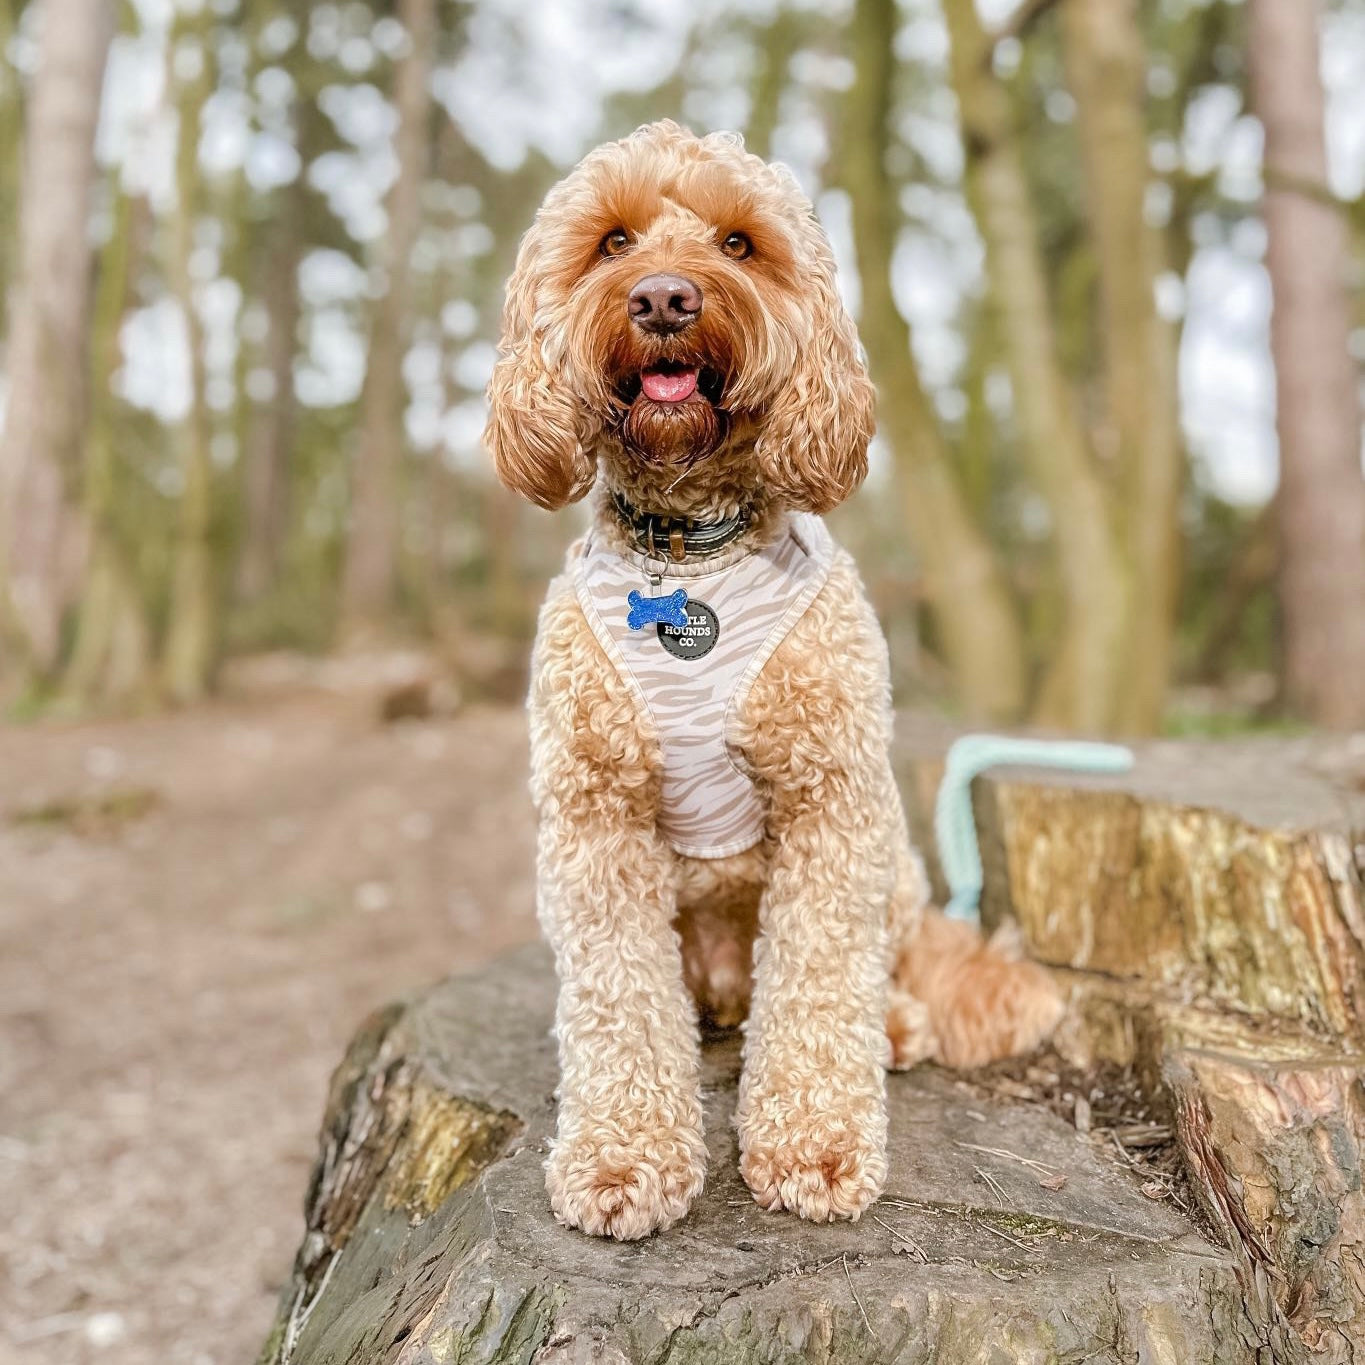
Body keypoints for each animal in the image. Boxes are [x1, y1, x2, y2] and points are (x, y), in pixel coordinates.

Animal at [483, 122, 1064, 1244]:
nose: (665, 298)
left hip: (893, 863)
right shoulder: (594, 823)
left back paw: (892, 1024)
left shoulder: (831, 804)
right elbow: (617, 1003)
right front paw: (623, 1155)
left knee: (876, 965)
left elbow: (819, 986)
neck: (689, 551)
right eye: (612, 240)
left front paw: (815, 1145)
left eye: (739, 243)